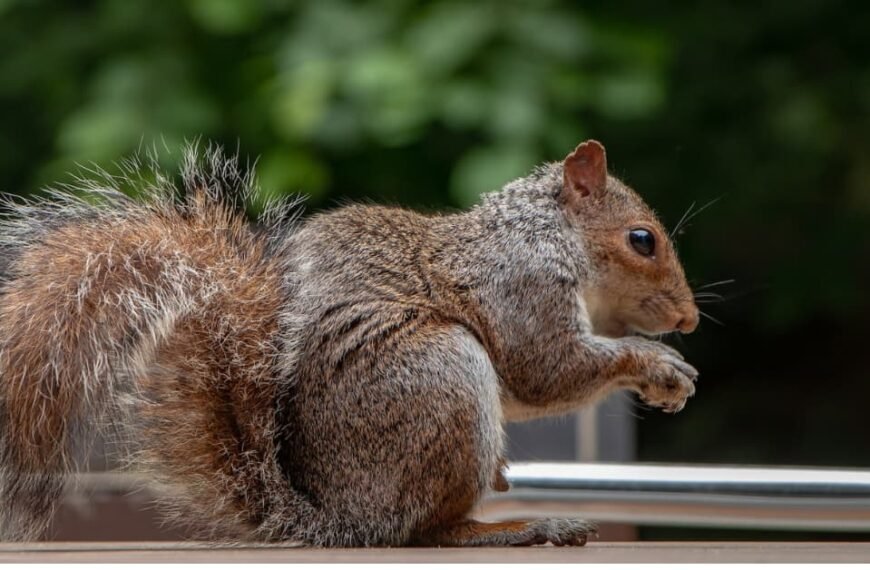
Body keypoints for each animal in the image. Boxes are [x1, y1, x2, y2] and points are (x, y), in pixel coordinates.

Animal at [0, 139, 700, 544]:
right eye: (642, 239)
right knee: (427, 531)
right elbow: (546, 370)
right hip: (440, 373)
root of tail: (343, 516)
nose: (689, 320)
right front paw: (660, 365)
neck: (548, 233)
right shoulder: (521, 283)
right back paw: (520, 527)